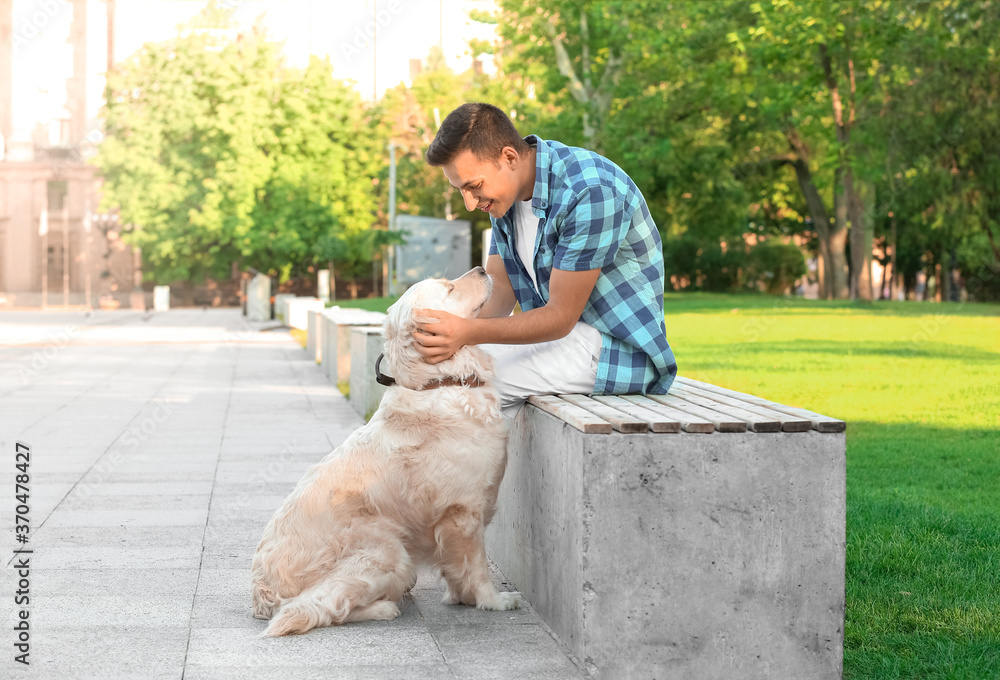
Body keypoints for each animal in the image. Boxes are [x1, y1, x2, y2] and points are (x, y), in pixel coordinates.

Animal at [250, 266, 520, 636]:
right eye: (449, 289)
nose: (482, 268)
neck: (441, 381)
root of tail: (263, 592)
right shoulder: (463, 510)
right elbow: (476, 564)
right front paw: (491, 600)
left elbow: (455, 566)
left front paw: (460, 596)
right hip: (389, 550)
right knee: (317, 608)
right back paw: (385, 608)